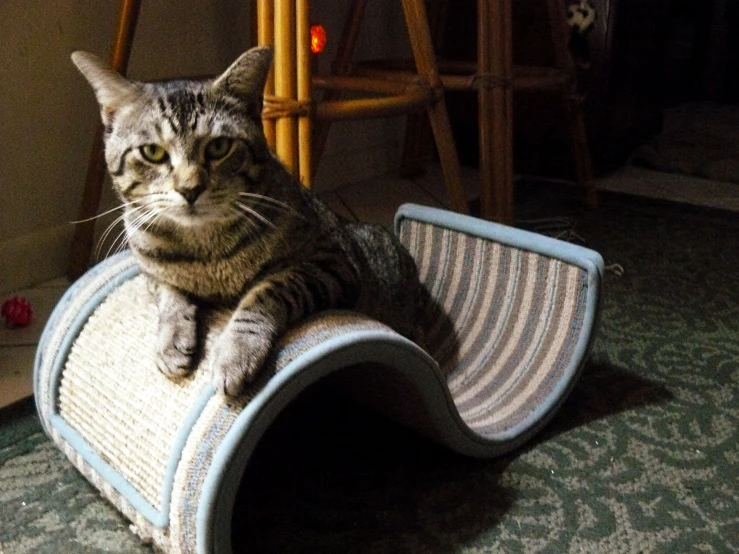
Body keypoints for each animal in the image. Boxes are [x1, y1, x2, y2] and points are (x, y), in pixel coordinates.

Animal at [73, 45, 422, 394]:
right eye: (153, 152)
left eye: (219, 146)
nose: (190, 189)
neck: (204, 251)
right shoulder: (150, 271)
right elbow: (170, 297)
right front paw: (171, 340)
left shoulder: (330, 263)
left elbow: (266, 291)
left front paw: (235, 353)